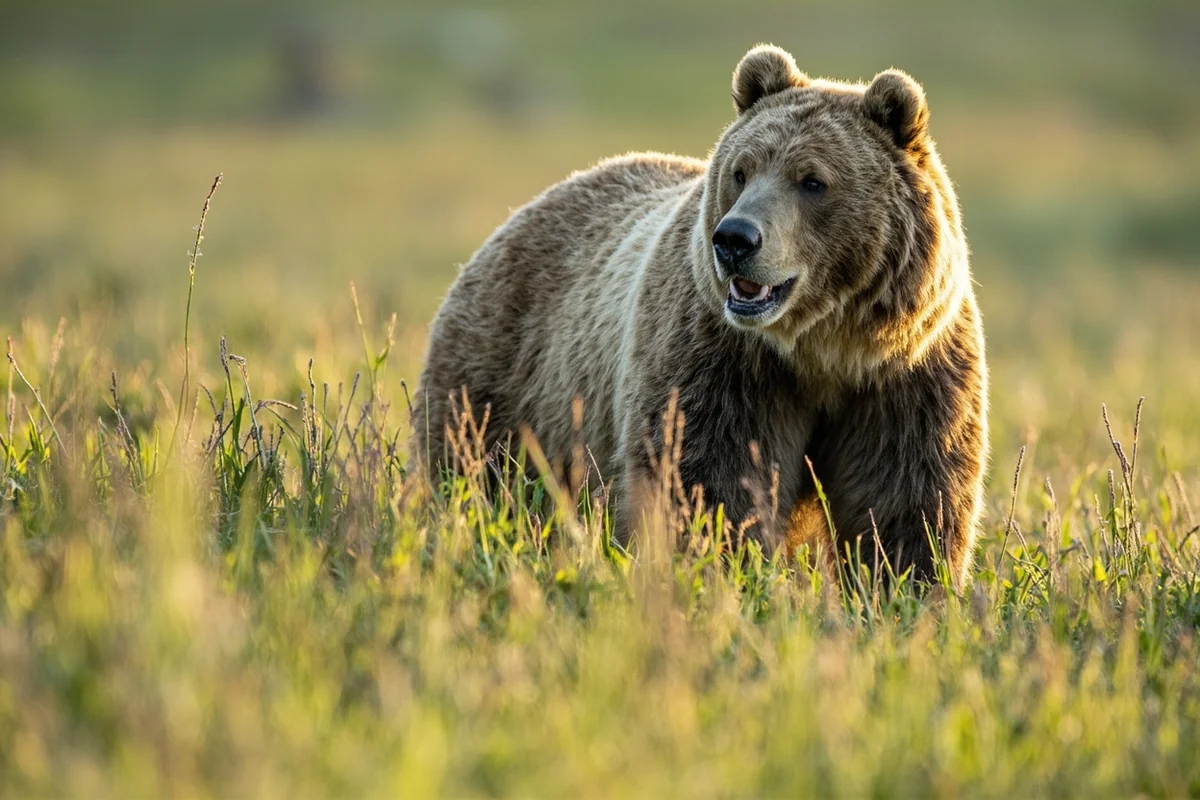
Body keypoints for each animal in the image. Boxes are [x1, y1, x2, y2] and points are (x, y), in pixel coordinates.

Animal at [413, 44, 988, 588]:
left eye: (812, 180)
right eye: (741, 171)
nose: (735, 238)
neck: (821, 350)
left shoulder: (905, 375)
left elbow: (906, 498)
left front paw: (905, 588)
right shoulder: (722, 361)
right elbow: (708, 481)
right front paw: (721, 572)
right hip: (505, 385)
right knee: (469, 471)